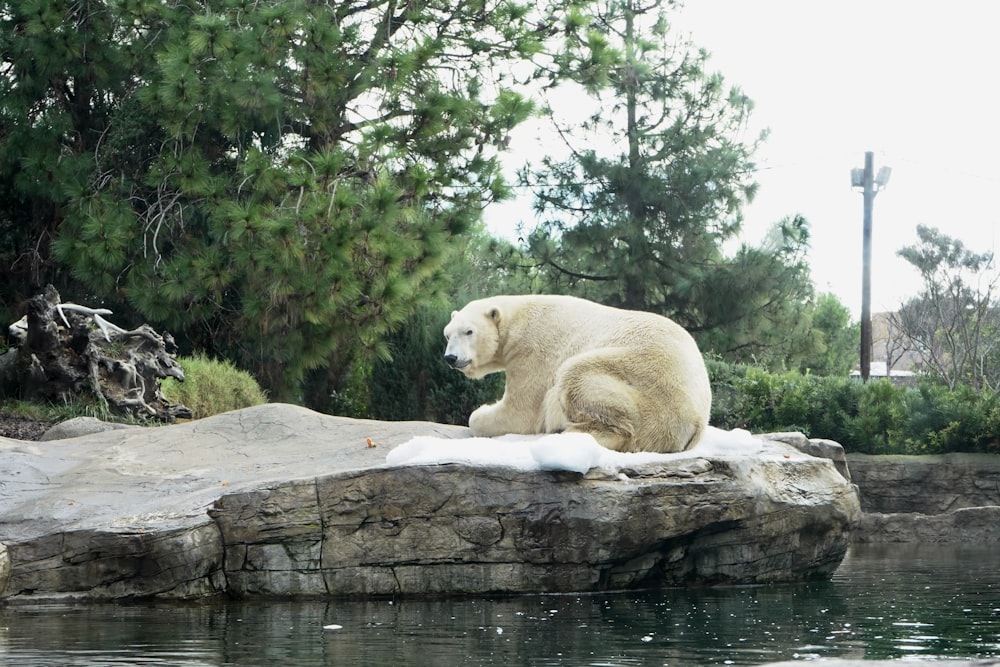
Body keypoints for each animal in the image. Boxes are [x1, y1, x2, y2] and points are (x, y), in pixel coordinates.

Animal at [444, 296, 712, 454]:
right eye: (448, 334)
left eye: (469, 331)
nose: (451, 358)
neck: (518, 316)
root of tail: (698, 421)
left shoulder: (533, 351)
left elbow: (520, 413)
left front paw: (481, 412)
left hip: (644, 384)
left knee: (577, 375)